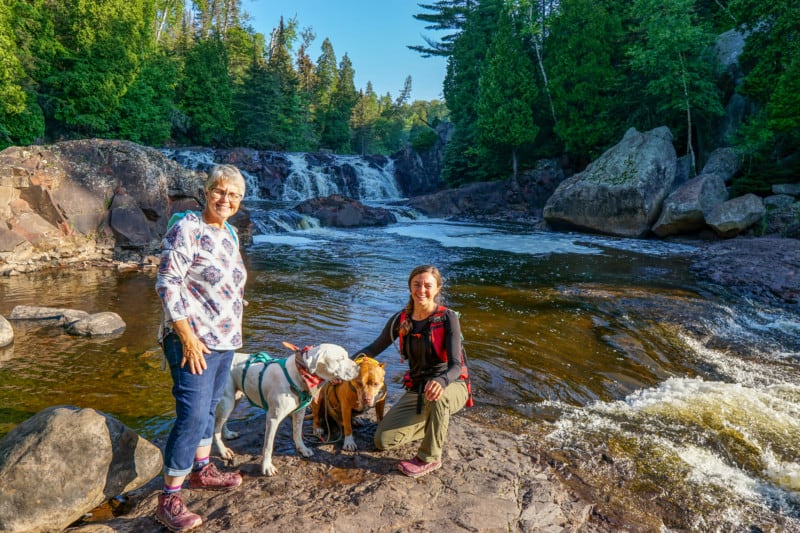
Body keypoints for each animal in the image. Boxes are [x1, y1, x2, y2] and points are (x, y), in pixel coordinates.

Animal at [211, 342, 358, 476]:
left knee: (221, 422)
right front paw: (267, 467)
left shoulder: (300, 412)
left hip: (234, 399)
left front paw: (302, 449)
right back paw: (223, 450)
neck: (300, 374)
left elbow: (297, 433)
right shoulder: (273, 418)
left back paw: (227, 434)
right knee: (215, 428)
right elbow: (268, 446)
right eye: (340, 359)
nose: (358, 367)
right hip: (227, 401)